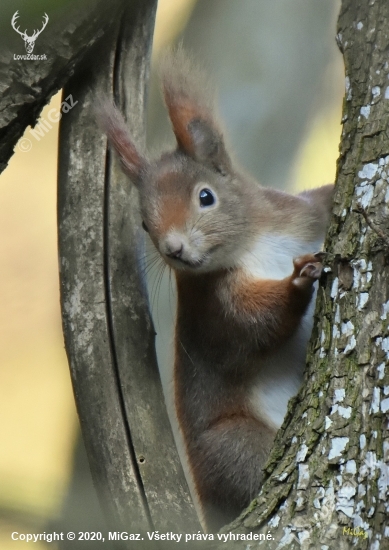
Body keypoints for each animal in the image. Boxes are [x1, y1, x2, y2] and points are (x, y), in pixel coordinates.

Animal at [99, 49, 330, 532]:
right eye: (144, 224)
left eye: (206, 197)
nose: (174, 248)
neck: (254, 242)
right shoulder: (214, 303)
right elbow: (253, 324)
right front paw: (298, 282)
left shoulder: (300, 214)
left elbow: (323, 200)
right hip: (235, 447)